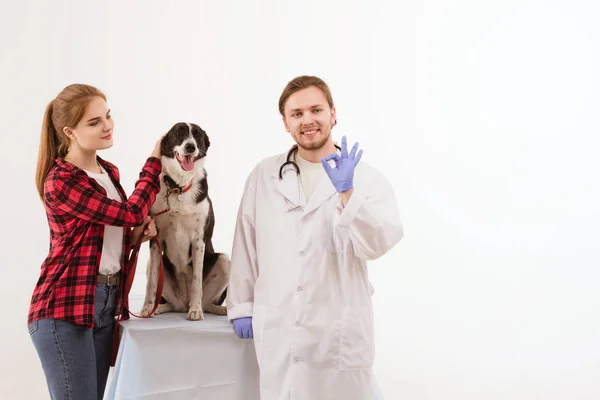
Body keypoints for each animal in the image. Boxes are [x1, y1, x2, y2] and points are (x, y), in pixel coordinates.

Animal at [140, 122, 230, 322]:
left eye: (197, 136)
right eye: (178, 133)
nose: (190, 147)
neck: (178, 188)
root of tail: (182, 303)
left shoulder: (199, 240)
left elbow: (196, 280)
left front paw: (195, 310)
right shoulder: (155, 239)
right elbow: (151, 283)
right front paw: (146, 308)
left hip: (224, 260)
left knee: (207, 302)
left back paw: (217, 309)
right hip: (154, 266)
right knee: (169, 302)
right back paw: (158, 308)